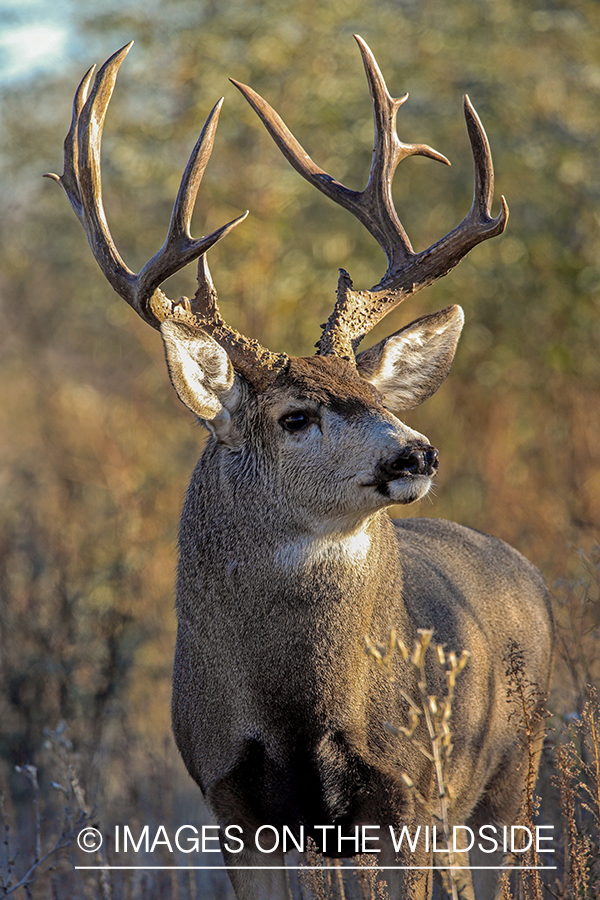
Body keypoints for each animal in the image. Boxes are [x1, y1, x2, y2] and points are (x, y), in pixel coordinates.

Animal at [49, 37, 556, 900]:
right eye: (295, 417)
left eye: (374, 393)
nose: (416, 451)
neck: (300, 711)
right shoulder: (230, 800)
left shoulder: (407, 790)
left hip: (514, 765)